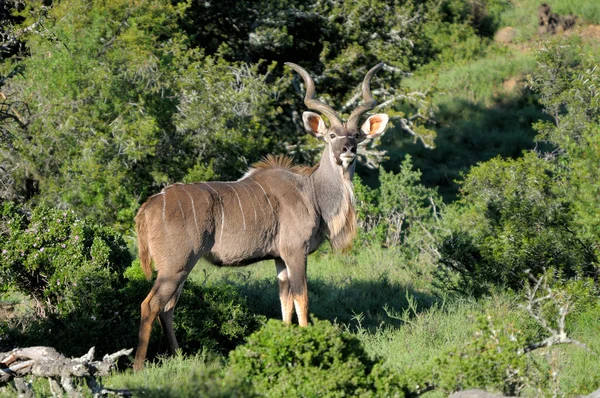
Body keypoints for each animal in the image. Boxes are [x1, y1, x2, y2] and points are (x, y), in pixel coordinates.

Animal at [132, 62, 390, 370]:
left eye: (357, 136)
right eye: (331, 135)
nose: (347, 150)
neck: (311, 192)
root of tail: (147, 208)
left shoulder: (279, 259)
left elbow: (285, 304)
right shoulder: (295, 252)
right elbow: (302, 300)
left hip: (180, 268)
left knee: (168, 307)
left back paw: (179, 357)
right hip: (175, 266)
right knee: (151, 305)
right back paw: (138, 367)